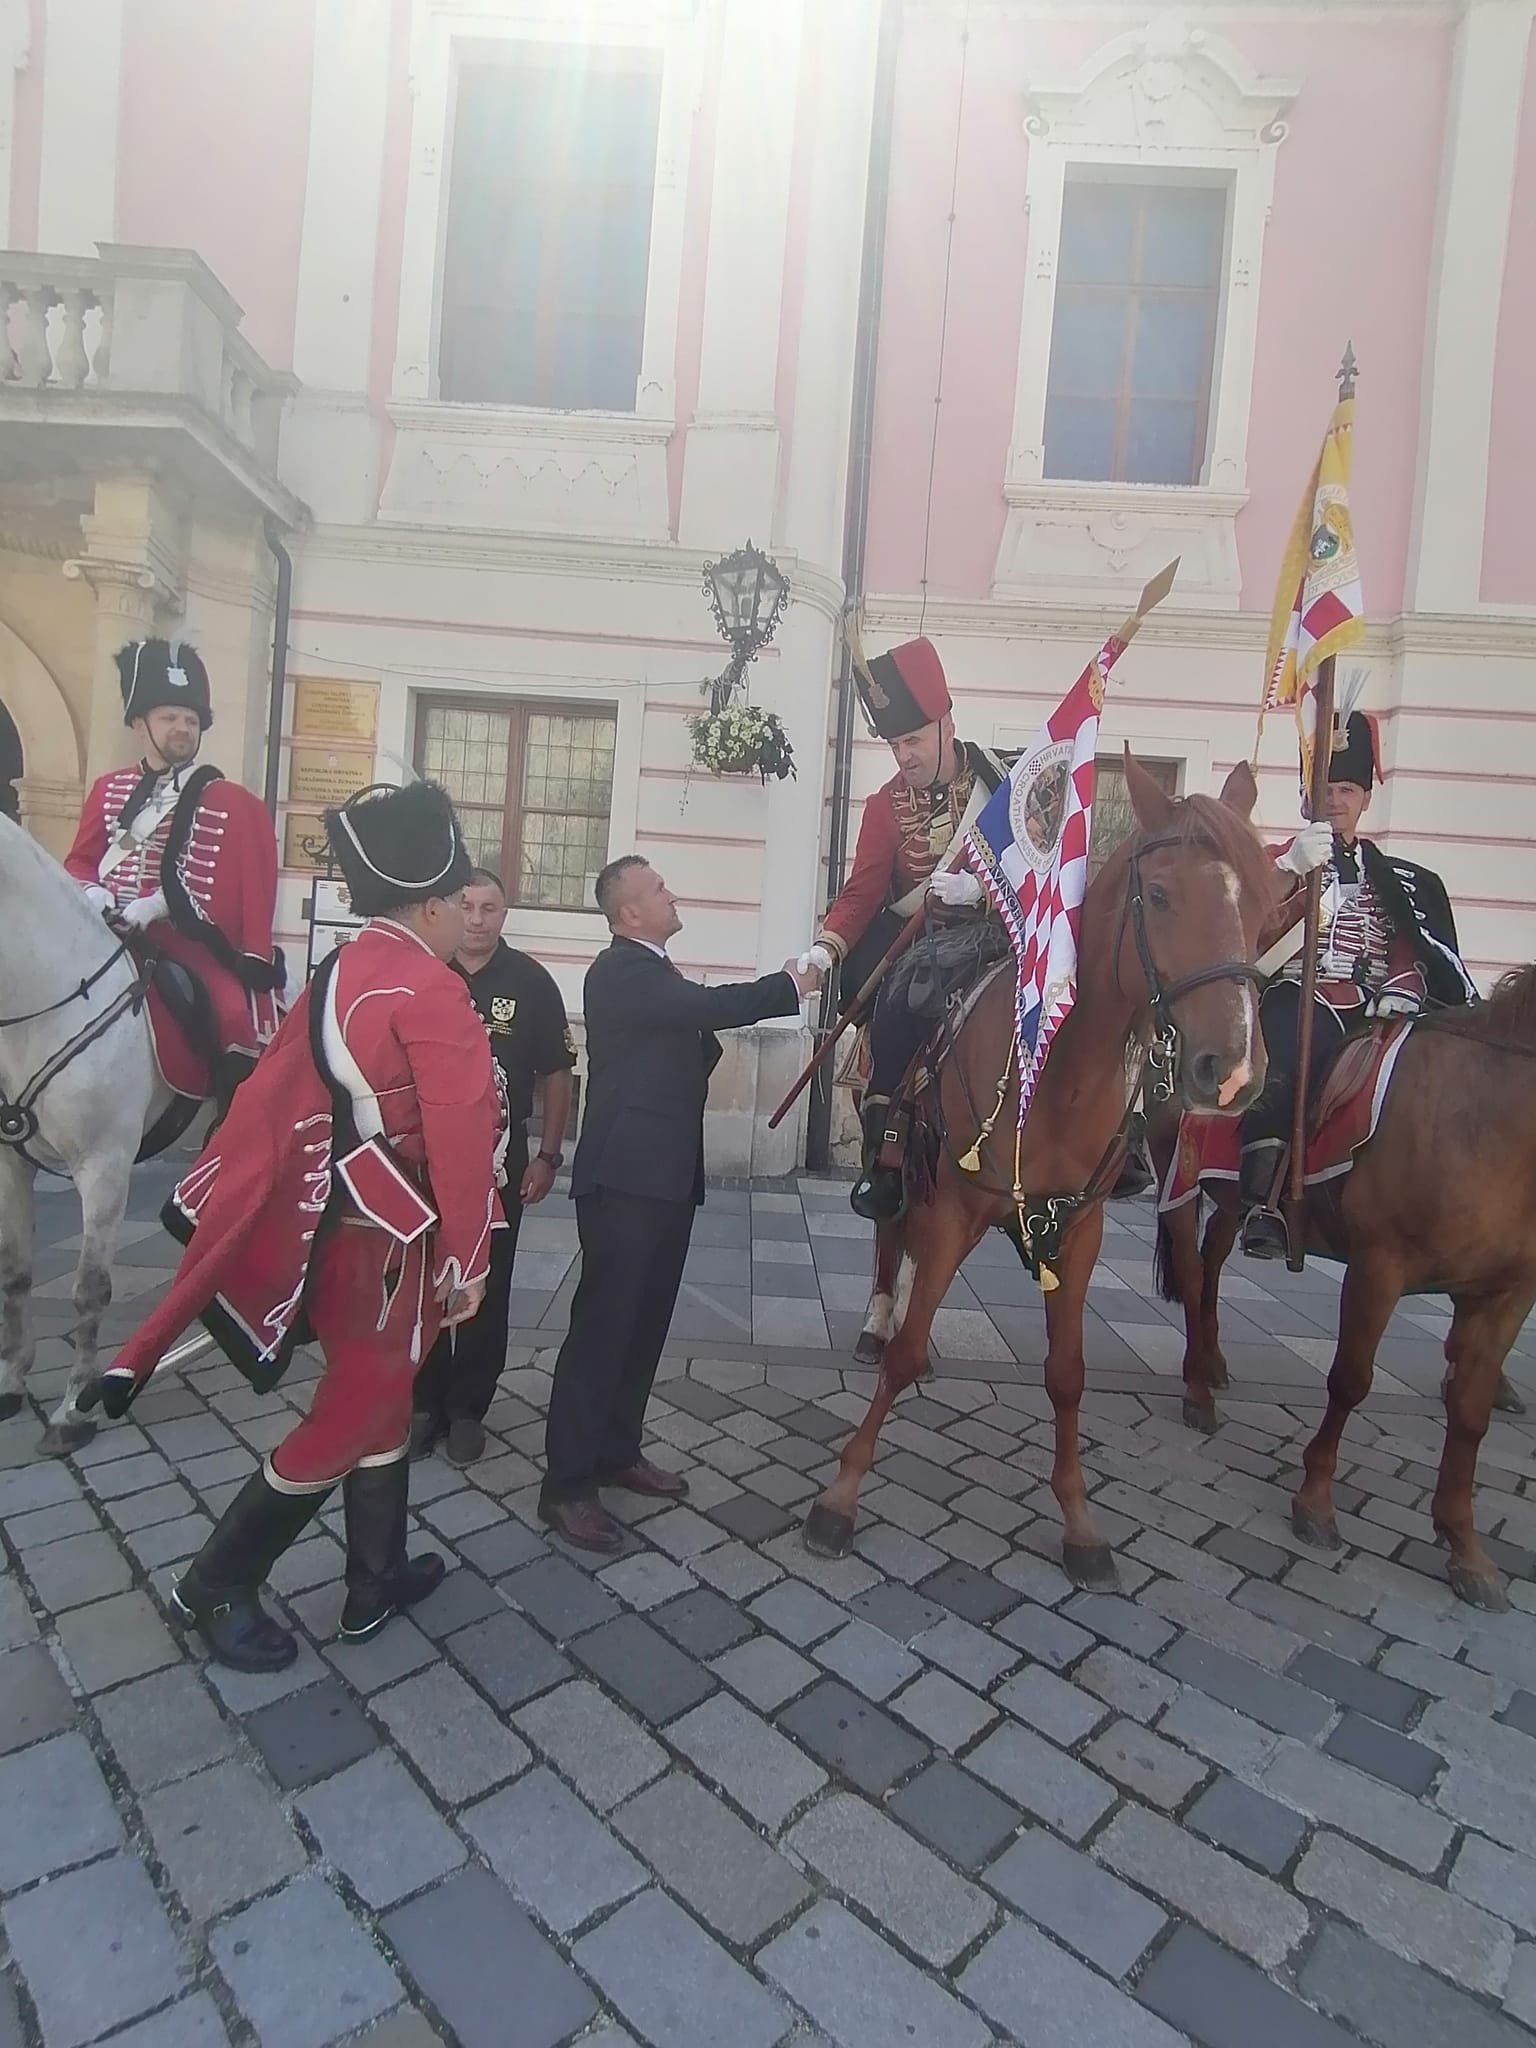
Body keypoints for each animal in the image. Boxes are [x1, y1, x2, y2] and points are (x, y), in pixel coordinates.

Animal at [0, 811, 186, 1454]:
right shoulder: (10, 1162)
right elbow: (15, 1270)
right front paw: (13, 1380)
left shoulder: (104, 1167)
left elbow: (89, 1288)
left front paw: (72, 1409)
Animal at [806, 755, 1277, 1589]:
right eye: (1160, 895)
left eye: (1259, 901)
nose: (1231, 1072)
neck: (1057, 1075)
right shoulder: (957, 1209)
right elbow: (904, 1352)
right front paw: (842, 1494)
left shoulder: (1080, 1230)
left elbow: (1067, 1374)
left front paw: (1081, 1524)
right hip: (895, 1154)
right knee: (892, 1230)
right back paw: (874, 1319)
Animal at [1149, 970, 1536, 1611]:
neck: (1480, 1114)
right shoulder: (1379, 1267)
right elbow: (1351, 1381)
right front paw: (1315, 1501)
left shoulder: (1503, 1294)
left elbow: (1470, 1411)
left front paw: (1465, 1547)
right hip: (1179, 1178)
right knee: (1191, 1263)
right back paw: (1198, 1389)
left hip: (1229, 1198)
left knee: (1213, 1261)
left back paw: (1214, 1361)